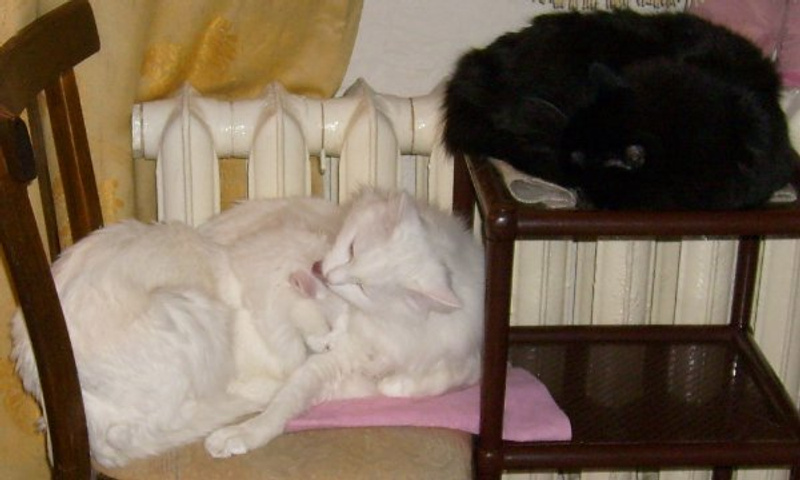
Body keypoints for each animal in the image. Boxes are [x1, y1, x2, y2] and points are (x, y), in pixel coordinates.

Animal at [203, 189, 484, 458]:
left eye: (363, 287)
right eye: (351, 250)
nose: (328, 275)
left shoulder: (467, 357)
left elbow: (440, 379)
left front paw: (394, 383)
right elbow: (286, 400)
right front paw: (240, 434)